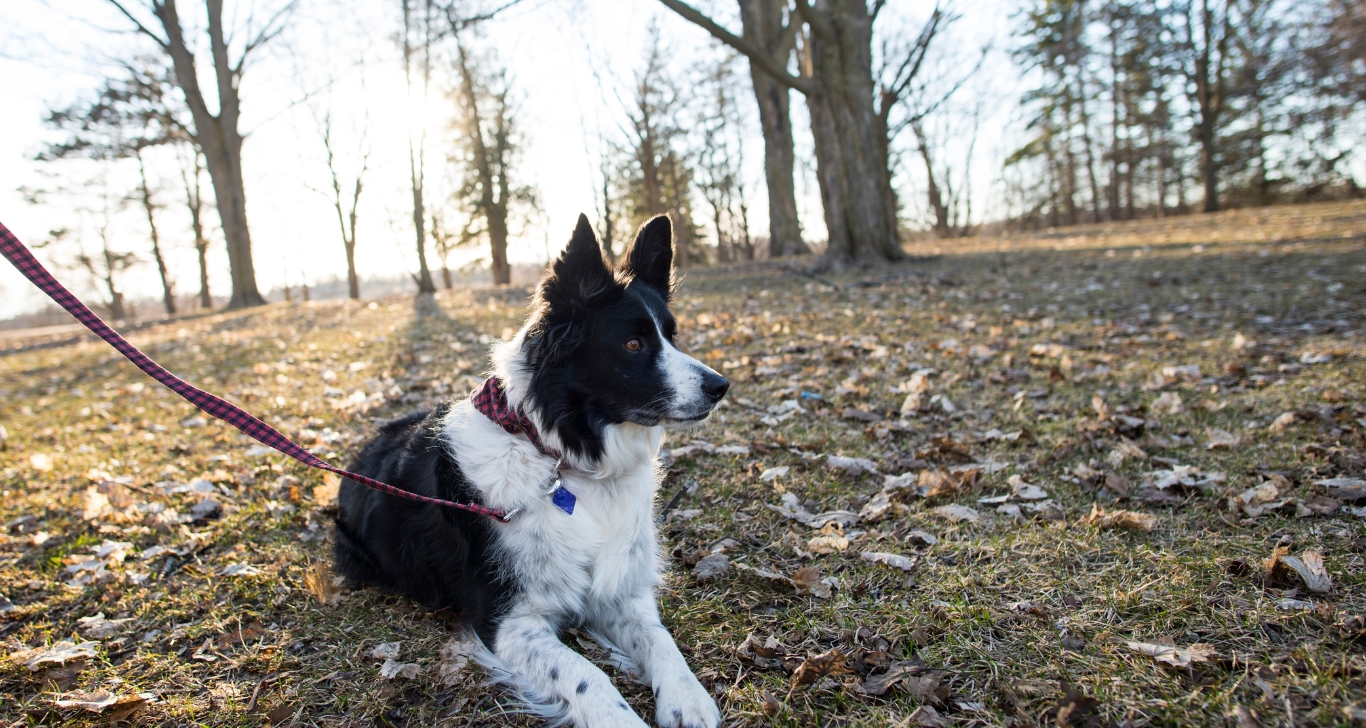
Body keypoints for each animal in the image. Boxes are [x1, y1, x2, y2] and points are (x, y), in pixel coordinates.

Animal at [334, 213, 732, 721]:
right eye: (633, 343)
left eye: (672, 335)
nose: (720, 386)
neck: (564, 459)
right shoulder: (507, 620)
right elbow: (588, 676)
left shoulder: (620, 592)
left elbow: (661, 641)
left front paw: (688, 699)